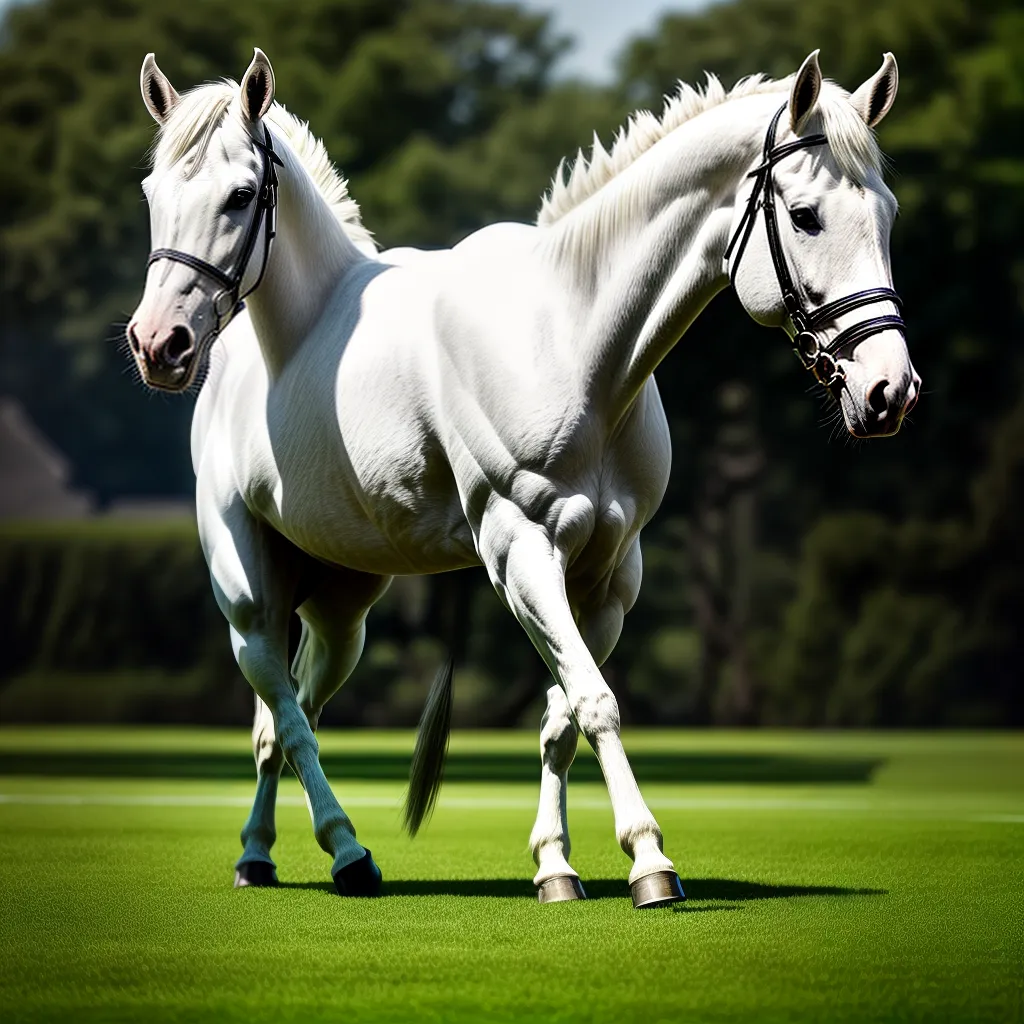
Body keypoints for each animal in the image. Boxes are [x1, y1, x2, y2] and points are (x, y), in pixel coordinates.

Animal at [128, 46, 919, 908]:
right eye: (805, 215)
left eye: (886, 214)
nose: (888, 389)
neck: (572, 343)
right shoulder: (521, 554)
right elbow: (596, 704)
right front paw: (650, 862)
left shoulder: (608, 580)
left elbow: (562, 717)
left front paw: (555, 865)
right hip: (248, 597)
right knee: (286, 714)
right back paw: (345, 851)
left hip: (341, 613)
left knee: (283, 719)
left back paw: (264, 853)